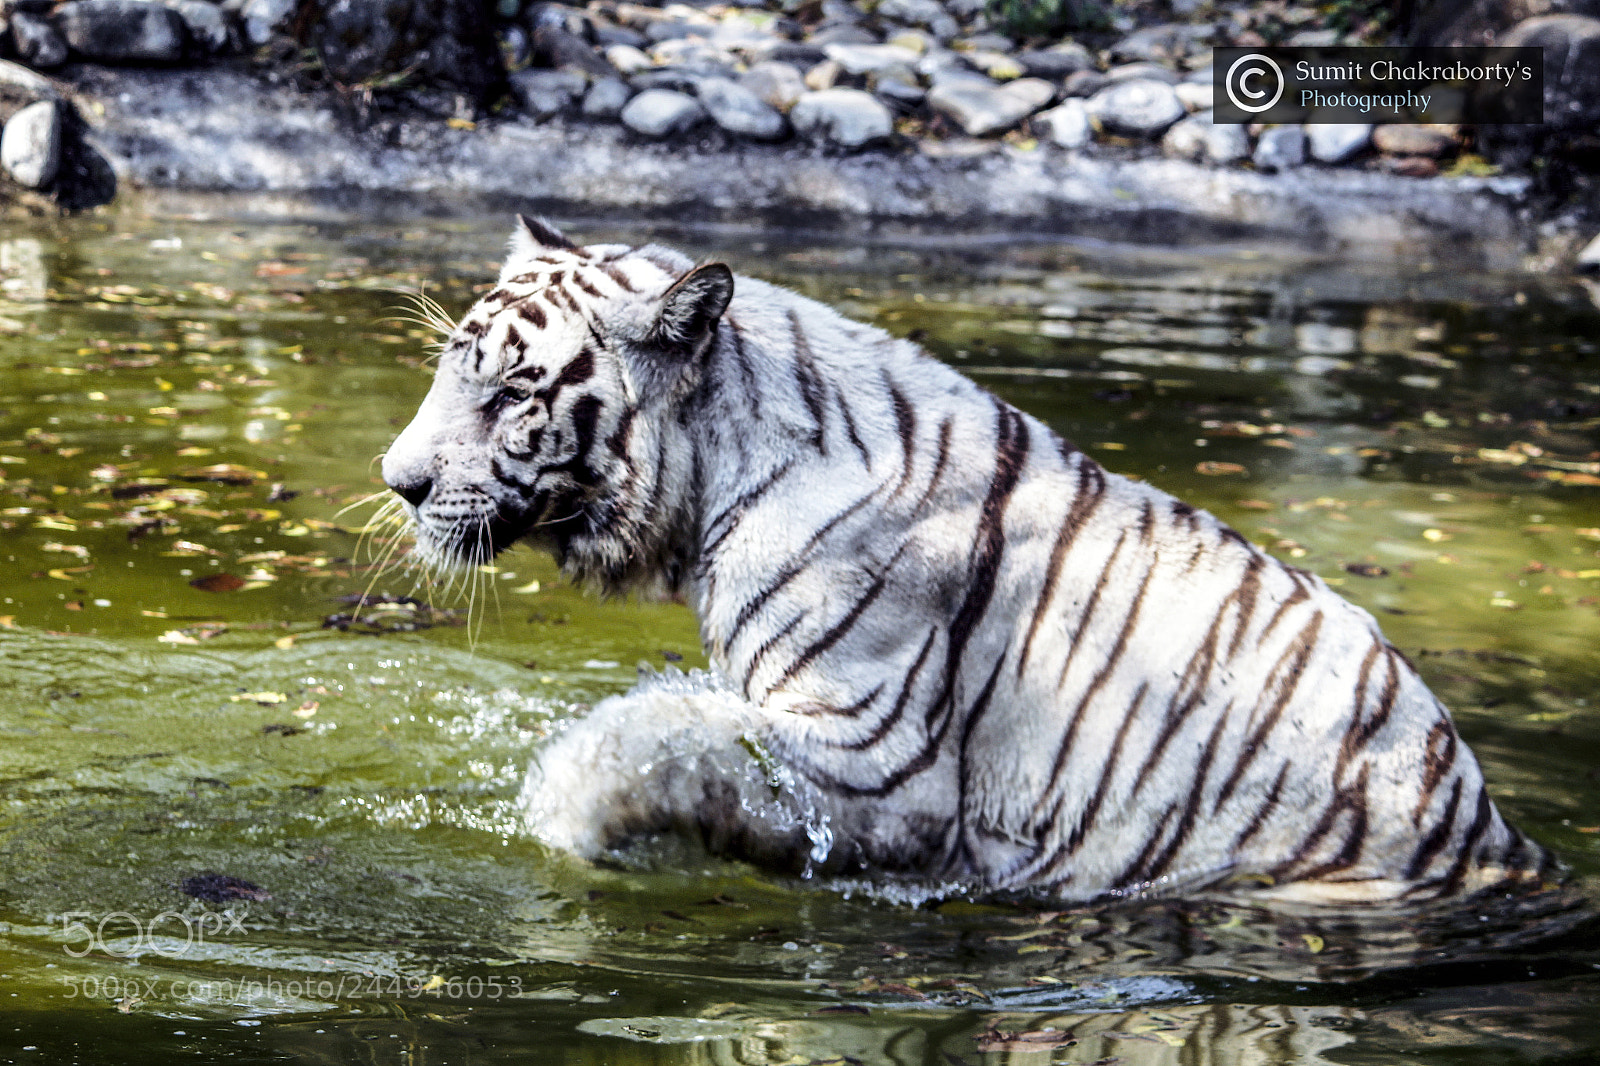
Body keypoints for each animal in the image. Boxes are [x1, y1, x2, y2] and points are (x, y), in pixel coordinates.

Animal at [380, 216, 1552, 904]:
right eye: (453, 371)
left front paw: (559, 823)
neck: (716, 475)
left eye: (512, 394)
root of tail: (1494, 836)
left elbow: (655, 737)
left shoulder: (882, 766)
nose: (399, 481)